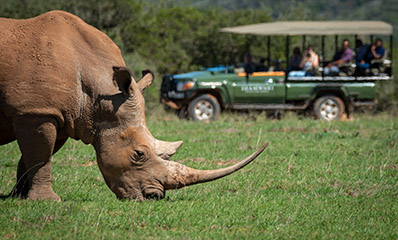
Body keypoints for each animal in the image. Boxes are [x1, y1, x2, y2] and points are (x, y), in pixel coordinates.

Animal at [0, 10, 268, 201]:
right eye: (139, 154)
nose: (154, 197)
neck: (97, 99)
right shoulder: (36, 111)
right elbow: (40, 156)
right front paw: (44, 201)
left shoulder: (59, 115)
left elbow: (34, 156)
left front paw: (18, 197)